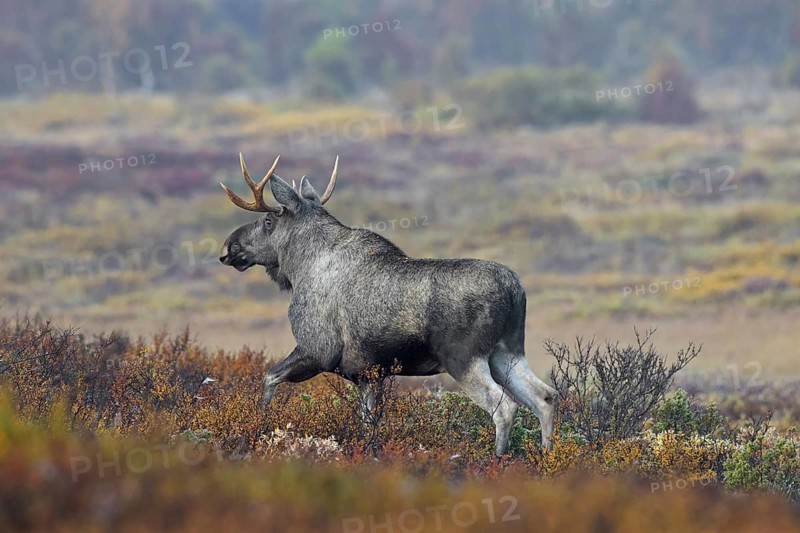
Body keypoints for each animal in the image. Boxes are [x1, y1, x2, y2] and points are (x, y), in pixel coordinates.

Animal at [218, 154, 556, 455]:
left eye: (268, 220)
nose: (228, 247)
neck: (299, 268)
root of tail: (514, 290)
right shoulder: (368, 374)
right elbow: (369, 425)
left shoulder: (318, 349)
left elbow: (269, 378)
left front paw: (259, 425)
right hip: (507, 352)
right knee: (545, 397)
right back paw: (545, 455)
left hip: (463, 357)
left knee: (505, 406)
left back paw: (499, 459)